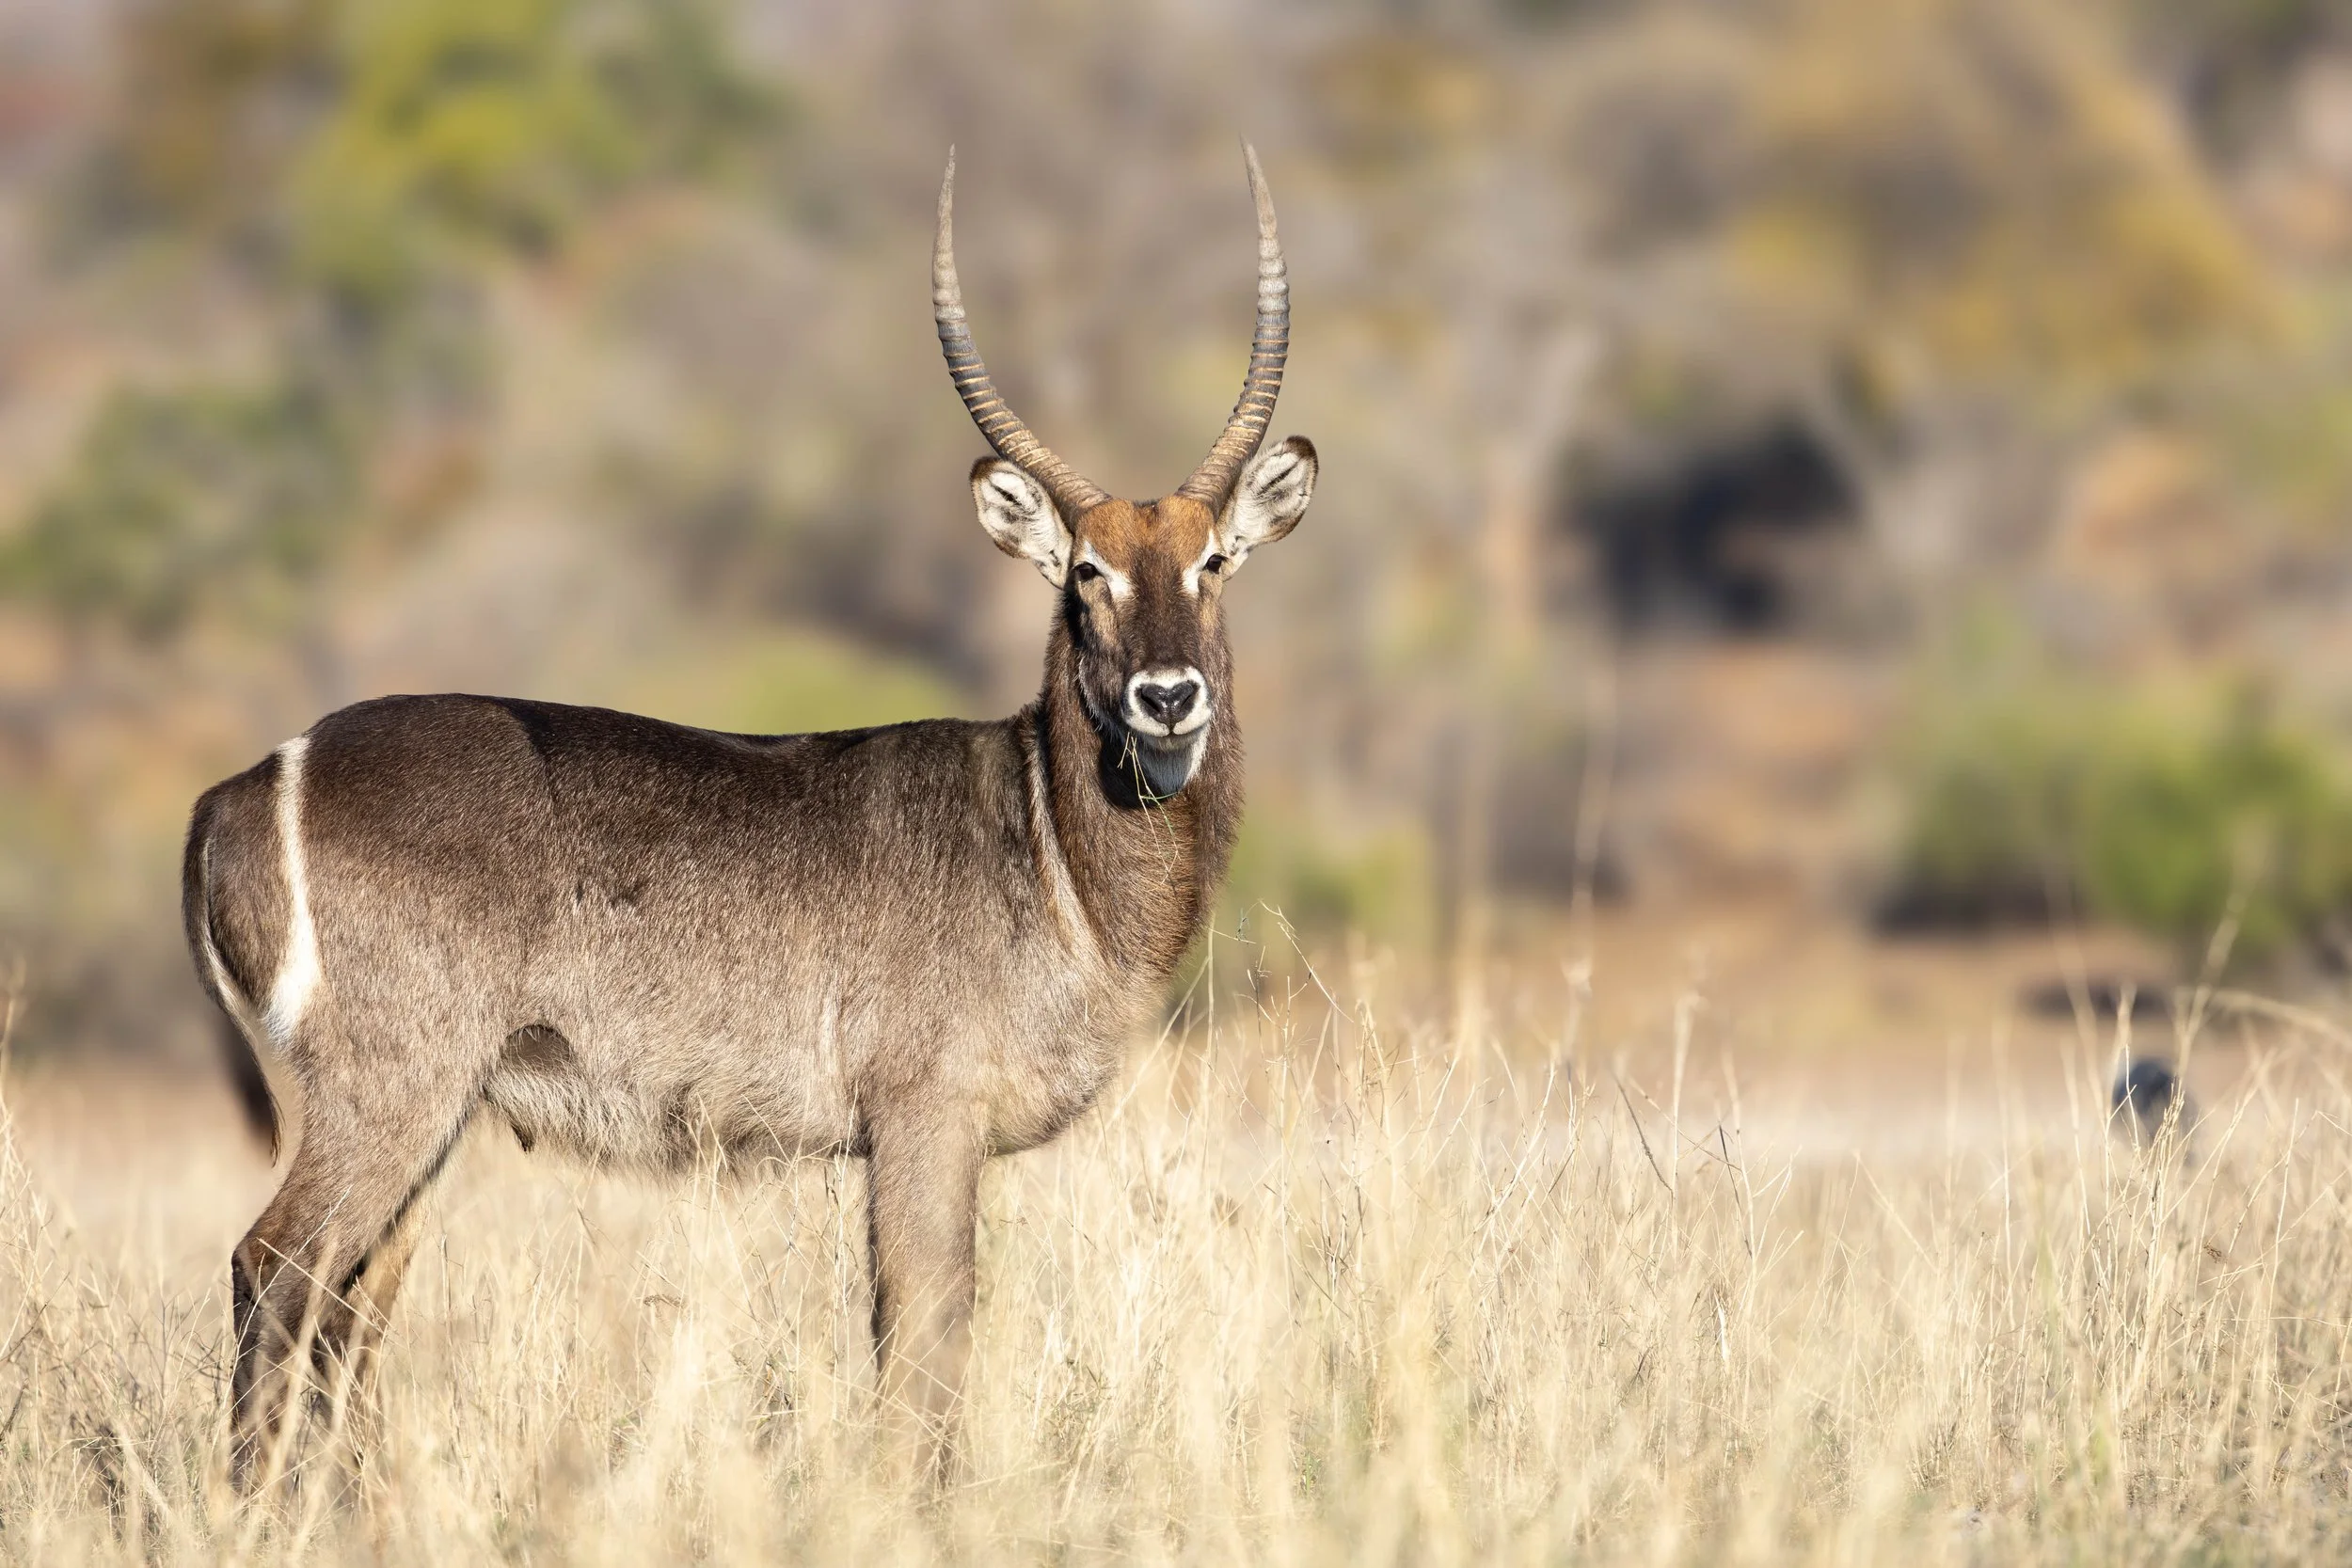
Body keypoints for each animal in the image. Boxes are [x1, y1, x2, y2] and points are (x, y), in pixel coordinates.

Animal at [180, 144, 1315, 1485]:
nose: (1167, 692)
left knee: (352, 1303)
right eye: (1087, 571)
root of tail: (249, 779)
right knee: (274, 1267)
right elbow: (922, 1335)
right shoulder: (923, 1116)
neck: (1052, 849)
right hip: (389, 1083)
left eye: (1212, 563)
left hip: (431, 1107)